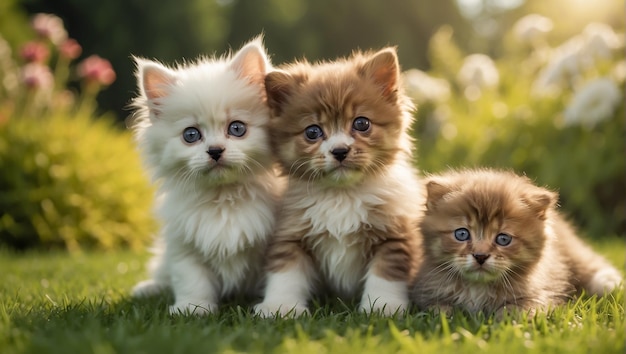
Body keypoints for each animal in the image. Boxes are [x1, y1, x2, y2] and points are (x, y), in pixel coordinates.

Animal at [129, 38, 280, 316]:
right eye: (191, 135)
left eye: (237, 128)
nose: (215, 150)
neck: (224, 198)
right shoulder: (184, 245)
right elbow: (191, 280)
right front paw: (193, 308)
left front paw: (275, 306)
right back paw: (148, 289)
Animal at [255, 47, 424, 318]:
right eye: (312, 132)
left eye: (361, 123)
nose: (340, 151)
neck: (342, 196)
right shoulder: (291, 233)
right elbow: (285, 272)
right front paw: (280, 307)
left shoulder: (394, 236)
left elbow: (385, 275)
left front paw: (383, 307)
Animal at [410, 169, 620, 316]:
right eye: (462, 234)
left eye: (503, 239)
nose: (480, 256)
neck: (478, 287)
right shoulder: (427, 292)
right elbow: (438, 309)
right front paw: (447, 314)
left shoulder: (541, 293)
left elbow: (515, 311)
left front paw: (503, 320)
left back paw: (611, 283)